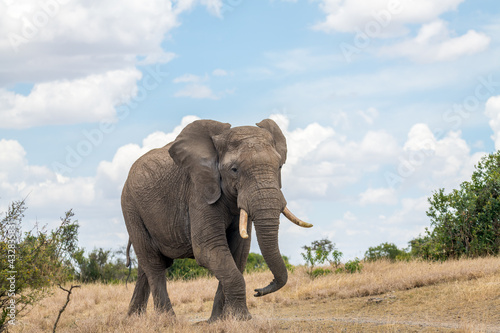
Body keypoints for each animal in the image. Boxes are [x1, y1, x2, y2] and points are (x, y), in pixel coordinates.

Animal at [121, 118, 310, 320]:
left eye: (279, 166)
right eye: (234, 170)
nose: (258, 291)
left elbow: (239, 251)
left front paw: (220, 320)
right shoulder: (198, 191)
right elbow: (208, 248)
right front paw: (243, 319)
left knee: (145, 267)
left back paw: (133, 320)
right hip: (131, 208)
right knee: (154, 264)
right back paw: (168, 320)